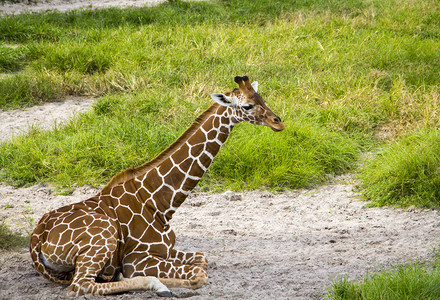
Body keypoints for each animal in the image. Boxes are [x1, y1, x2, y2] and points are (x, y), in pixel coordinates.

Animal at [30, 76, 286, 296]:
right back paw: (156, 285)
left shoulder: (167, 250)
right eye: (247, 106)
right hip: (103, 237)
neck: (160, 201)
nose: (279, 123)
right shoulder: (137, 259)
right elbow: (198, 274)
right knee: (80, 285)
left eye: (262, 99)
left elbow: (202, 258)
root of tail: (36, 239)